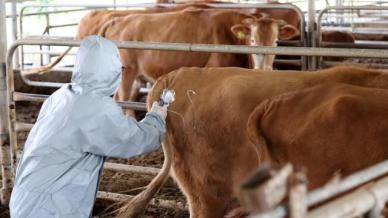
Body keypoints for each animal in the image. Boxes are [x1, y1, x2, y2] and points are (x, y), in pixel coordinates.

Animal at [99, 8, 298, 110]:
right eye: (253, 41)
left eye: (276, 41)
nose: (264, 69)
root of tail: (119, 19)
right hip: (127, 72)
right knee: (122, 99)